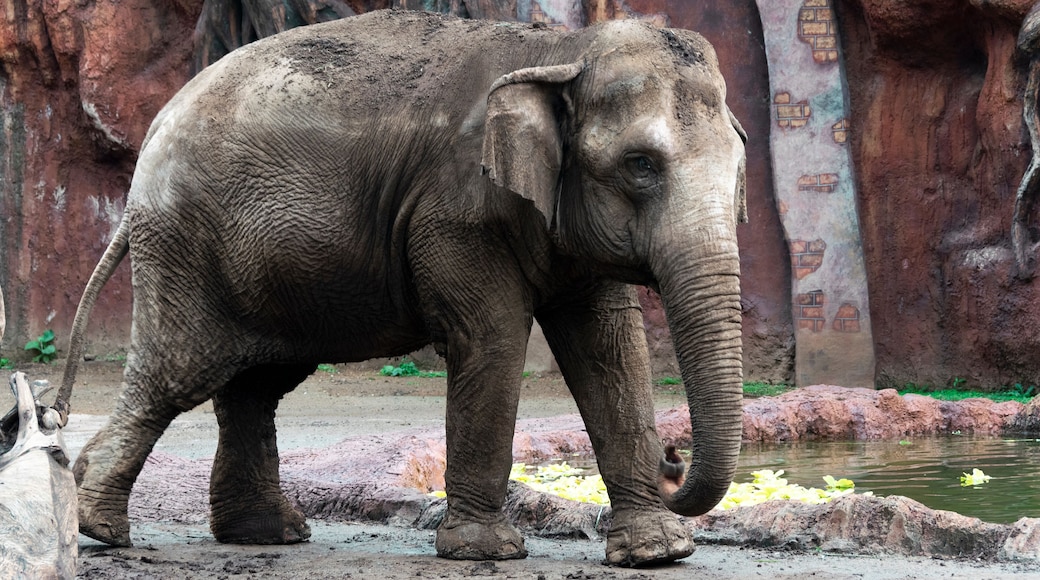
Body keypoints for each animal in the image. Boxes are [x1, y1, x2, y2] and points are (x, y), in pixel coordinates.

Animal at [57, 8, 747, 567]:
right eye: (640, 165)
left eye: (739, 168)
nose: (673, 456)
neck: (562, 49)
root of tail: (149, 144)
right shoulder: (456, 210)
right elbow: (493, 338)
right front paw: (484, 553)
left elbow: (610, 350)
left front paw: (657, 554)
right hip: (185, 241)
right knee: (178, 372)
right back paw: (101, 527)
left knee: (257, 384)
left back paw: (266, 535)